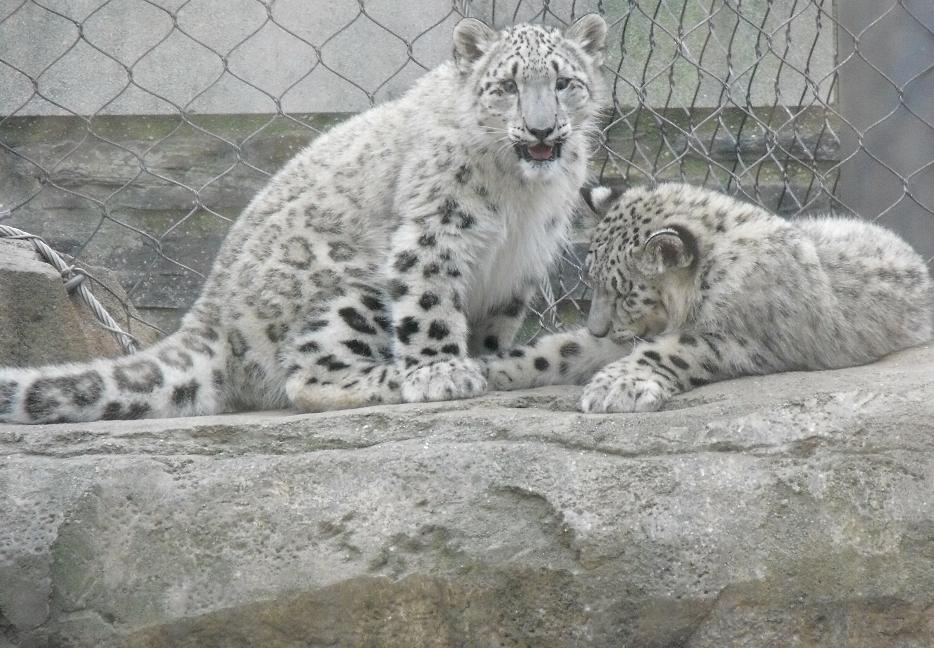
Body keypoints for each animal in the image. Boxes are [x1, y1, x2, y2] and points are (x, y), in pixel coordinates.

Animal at [0, 15, 609, 424]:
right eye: (505, 86)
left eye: (563, 83)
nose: (540, 129)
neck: (522, 198)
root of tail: (208, 313)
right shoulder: (433, 231)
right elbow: (431, 305)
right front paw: (444, 370)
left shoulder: (522, 262)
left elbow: (495, 323)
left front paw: (493, 361)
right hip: (354, 288)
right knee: (306, 376)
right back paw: (397, 377)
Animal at [480, 182, 933, 412]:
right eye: (591, 279)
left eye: (626, 293)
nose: (598, 328)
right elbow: (560, 348)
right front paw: (483, 369)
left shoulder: (744, 339)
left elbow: (672, 350)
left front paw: (615, 388)